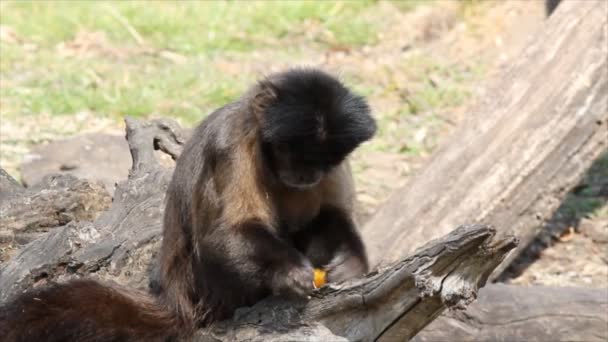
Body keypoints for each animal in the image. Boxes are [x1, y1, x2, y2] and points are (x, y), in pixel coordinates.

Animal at [0, 68, 376, 340]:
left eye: (323, 160)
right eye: (287, 150)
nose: (305, 173)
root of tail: (178, 299)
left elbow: (334, 213)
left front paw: (351, 262)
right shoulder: (232, 141)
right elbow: (223, 236)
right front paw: (288, 272)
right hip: (207, 285)